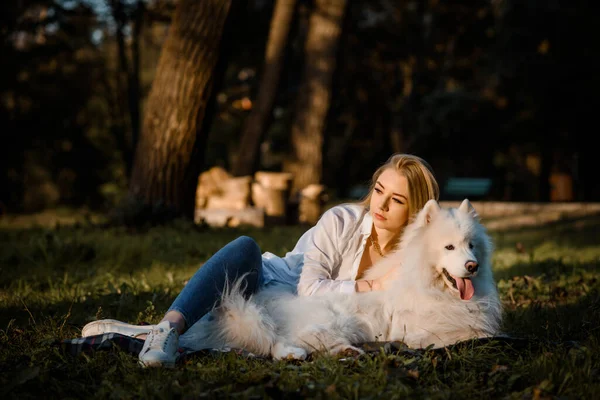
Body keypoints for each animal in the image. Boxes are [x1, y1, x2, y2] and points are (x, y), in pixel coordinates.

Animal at [180, 199, 504, 360]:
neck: (428, 285)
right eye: (449, 247)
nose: (472, 266)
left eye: (471, 245)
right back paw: (307, 353)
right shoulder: (422, 331)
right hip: (335, 319)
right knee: (285, 340)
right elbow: (472, 332)